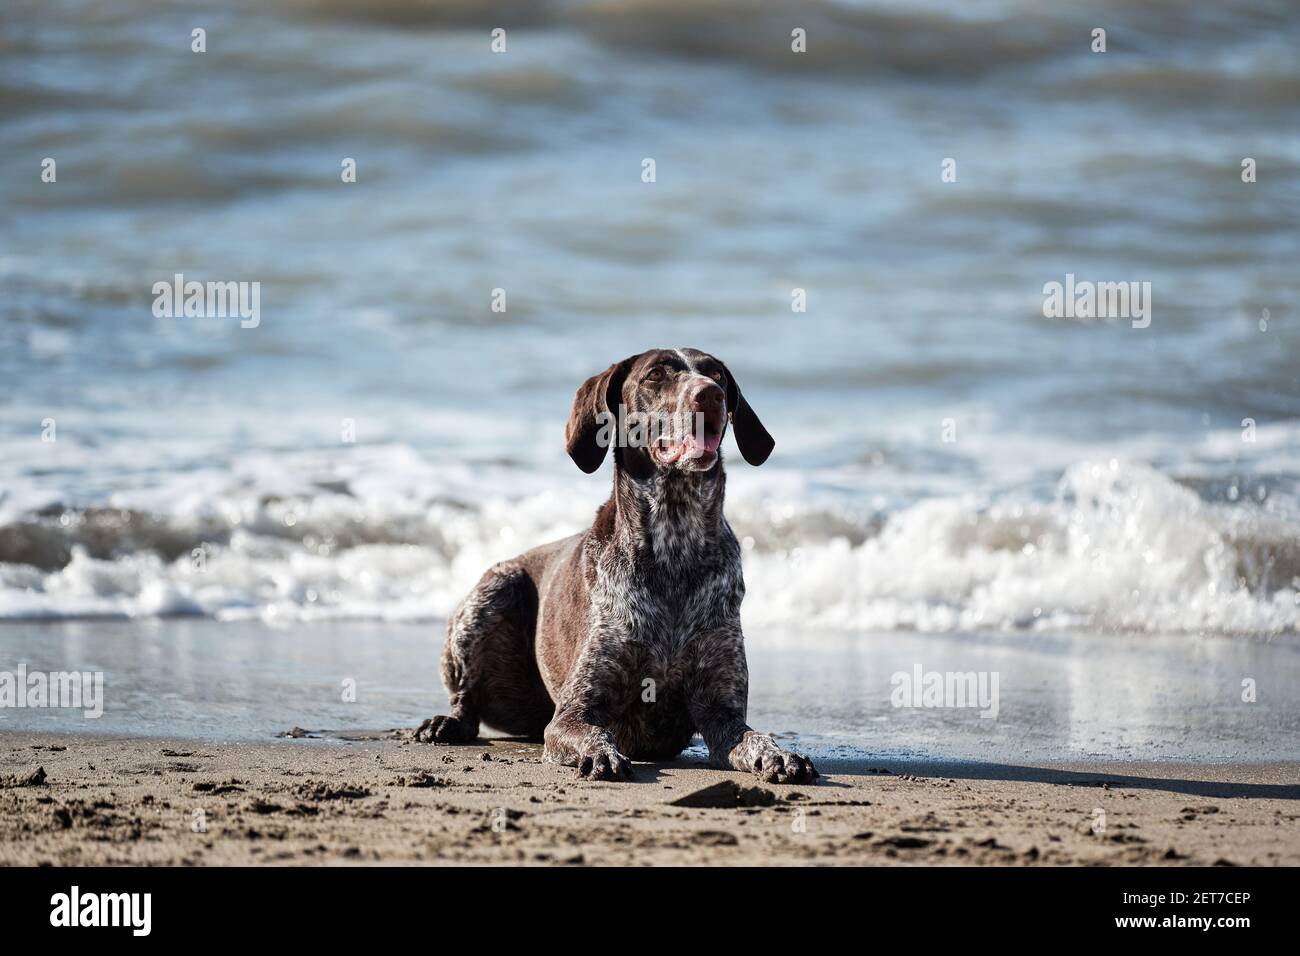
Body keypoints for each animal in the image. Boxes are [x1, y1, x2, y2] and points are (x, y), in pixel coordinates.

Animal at [416, 351, 816, 785]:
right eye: (655, 374)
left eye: (717, 374)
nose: (710, 394)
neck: (675, 544)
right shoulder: (572, 712)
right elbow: (594, 732)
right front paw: (601, 754)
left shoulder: (721, 711)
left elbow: (754, 737)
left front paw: (780, 755)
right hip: (494, 590)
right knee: (466, 698)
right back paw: (447, 723)